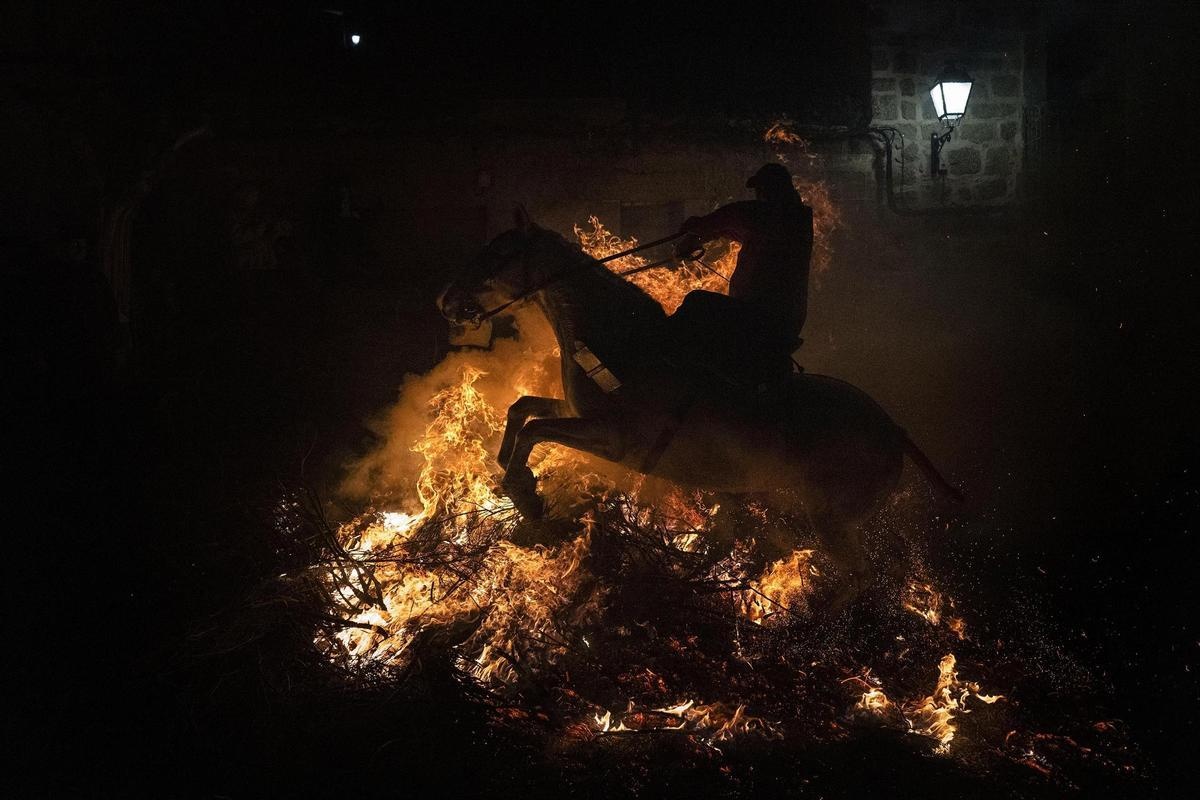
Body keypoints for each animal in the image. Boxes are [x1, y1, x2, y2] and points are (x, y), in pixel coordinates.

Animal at [436, 206, 960, 606]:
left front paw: (524, 492)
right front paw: (510, 473)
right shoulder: (577, 412)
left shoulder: (611, 438)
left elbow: (532, 429)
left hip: (830, 520)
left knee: (860, 577)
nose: (446, 301)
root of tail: (896, 431)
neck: (621, 337)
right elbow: (521, 410)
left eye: (498, 253)